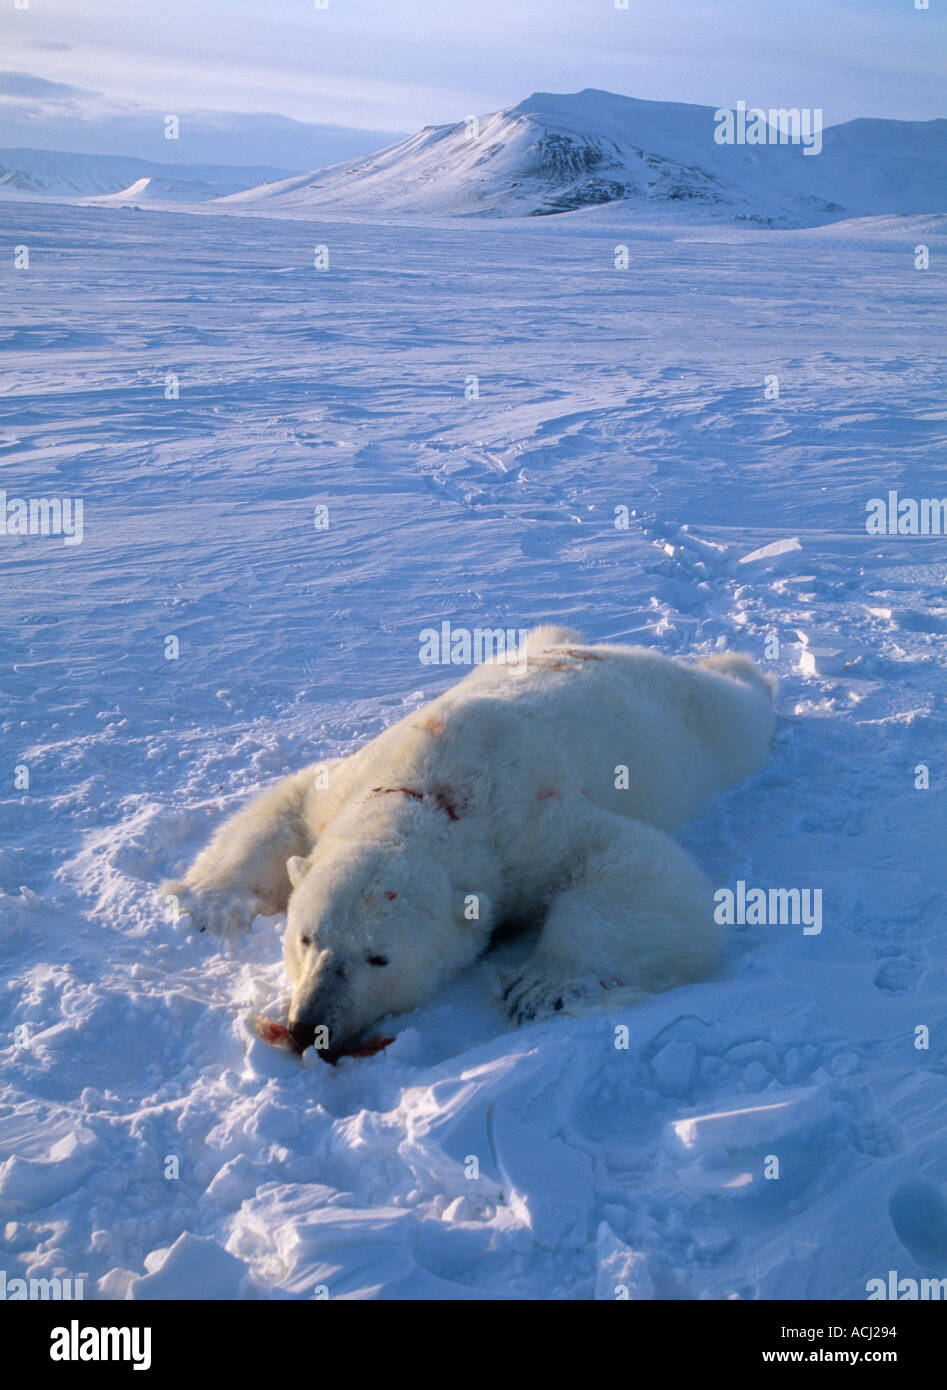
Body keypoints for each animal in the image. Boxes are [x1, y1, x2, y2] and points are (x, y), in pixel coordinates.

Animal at [158, 625, 773, 1056]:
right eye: (306, 937)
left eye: (379, 958)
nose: (310, 1027)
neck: (428, 793)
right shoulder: (352, 786)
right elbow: (292, 800)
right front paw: (213, 902)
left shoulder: (526, 829)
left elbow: (635, 862)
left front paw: (539, 984)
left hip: (696, 728)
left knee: (737, 704)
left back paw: (745, 669)